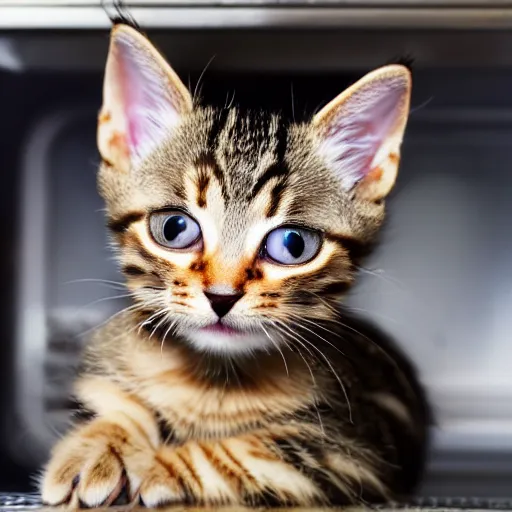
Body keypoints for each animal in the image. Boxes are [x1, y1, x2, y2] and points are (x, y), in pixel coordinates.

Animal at [39, 22, 428, 510]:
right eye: (174, 228)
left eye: (294, 244)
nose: (221, 296)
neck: (209, 382)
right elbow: (117, 402)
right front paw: (97, 446)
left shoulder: (352, 451)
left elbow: (247, 449)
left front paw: (160, 465)